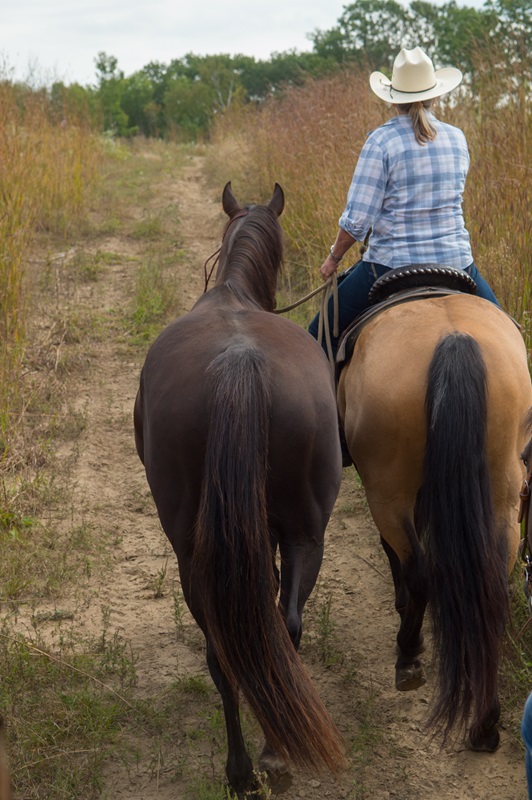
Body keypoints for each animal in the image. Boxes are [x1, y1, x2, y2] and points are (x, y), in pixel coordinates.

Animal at [134, 182, 346, 794]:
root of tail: (239, 362)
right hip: (303, 532)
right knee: (283, 627)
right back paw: (271, 755)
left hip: (196, 551)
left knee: (226, 651)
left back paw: (243, 770)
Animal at [337, 291, 532, 751]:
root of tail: (453, 339)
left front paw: (401, 606)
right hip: (502, 493)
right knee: (492, 585)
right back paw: (485, 724)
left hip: (387, 493)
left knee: (419, 569)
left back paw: (408, 654)